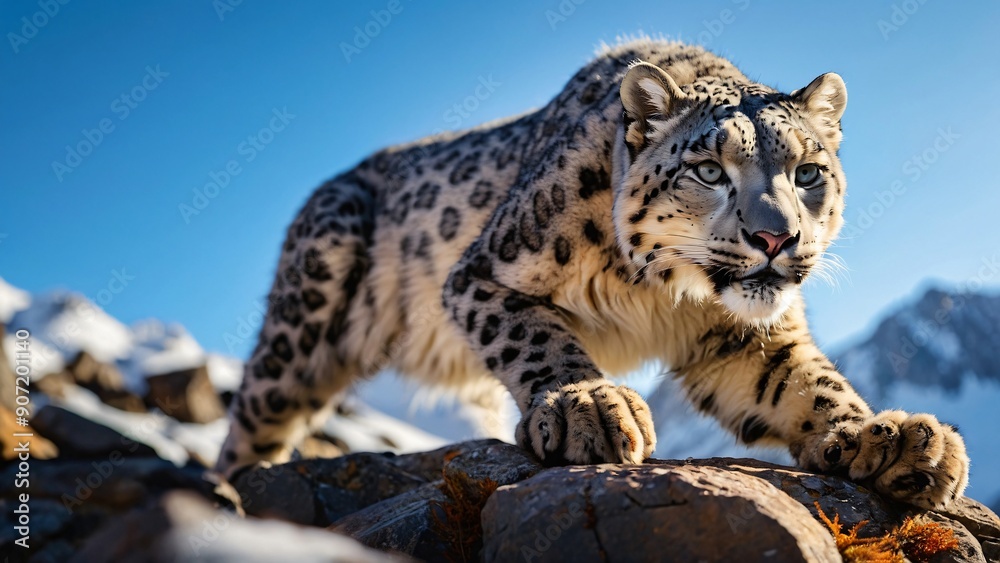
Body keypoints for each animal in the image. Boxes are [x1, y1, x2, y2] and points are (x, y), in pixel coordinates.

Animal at [216, 38, 969, 510]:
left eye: (808, 172)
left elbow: (808, 382)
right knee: (252, 421)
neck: (663, 293)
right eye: (708, 169)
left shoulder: (742, 337)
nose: (775, 237)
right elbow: (537, 337)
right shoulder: (481, 274)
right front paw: (591, 407)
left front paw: (899, 441)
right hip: (305, 312)